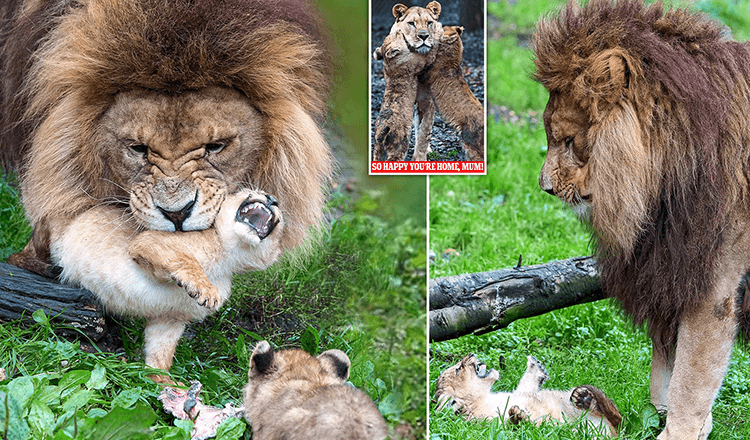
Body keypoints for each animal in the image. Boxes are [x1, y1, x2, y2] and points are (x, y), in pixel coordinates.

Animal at [434, 354, 624, 436]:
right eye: (458, 368)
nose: (471, 354)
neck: (484, 399)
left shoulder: (522, 393)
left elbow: (525, 386)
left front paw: (536, 366)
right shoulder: (487, 427)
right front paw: (517, 416)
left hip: (566, 399)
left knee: (616, 416)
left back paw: (584, 397)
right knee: (616, 419)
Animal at [536, 1, 750, 438]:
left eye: (568, 141)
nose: (544, 187)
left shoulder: (711, 285)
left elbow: (690, 376)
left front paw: (679, 430)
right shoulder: (668, 270)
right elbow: (665, 368)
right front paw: (673, 419)